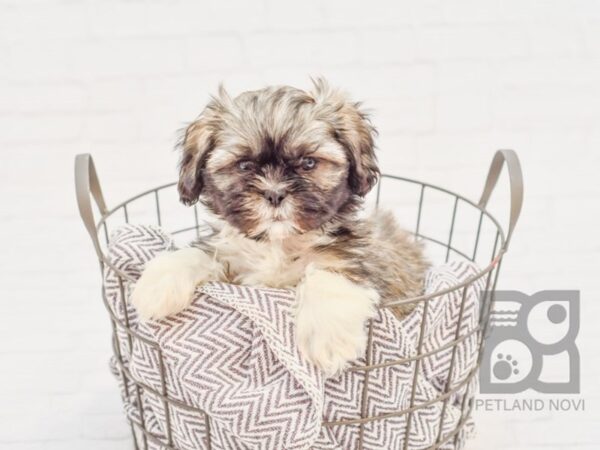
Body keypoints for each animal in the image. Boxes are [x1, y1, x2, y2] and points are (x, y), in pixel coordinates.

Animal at [134, 80, 428, 376]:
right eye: (244, 165)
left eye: (308, 163)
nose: (274, 194)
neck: (278, 244)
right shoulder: (234, 266)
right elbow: (200, 253)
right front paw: (156, 285)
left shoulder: (357, 258)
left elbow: (329, 272)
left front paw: (328, 337)